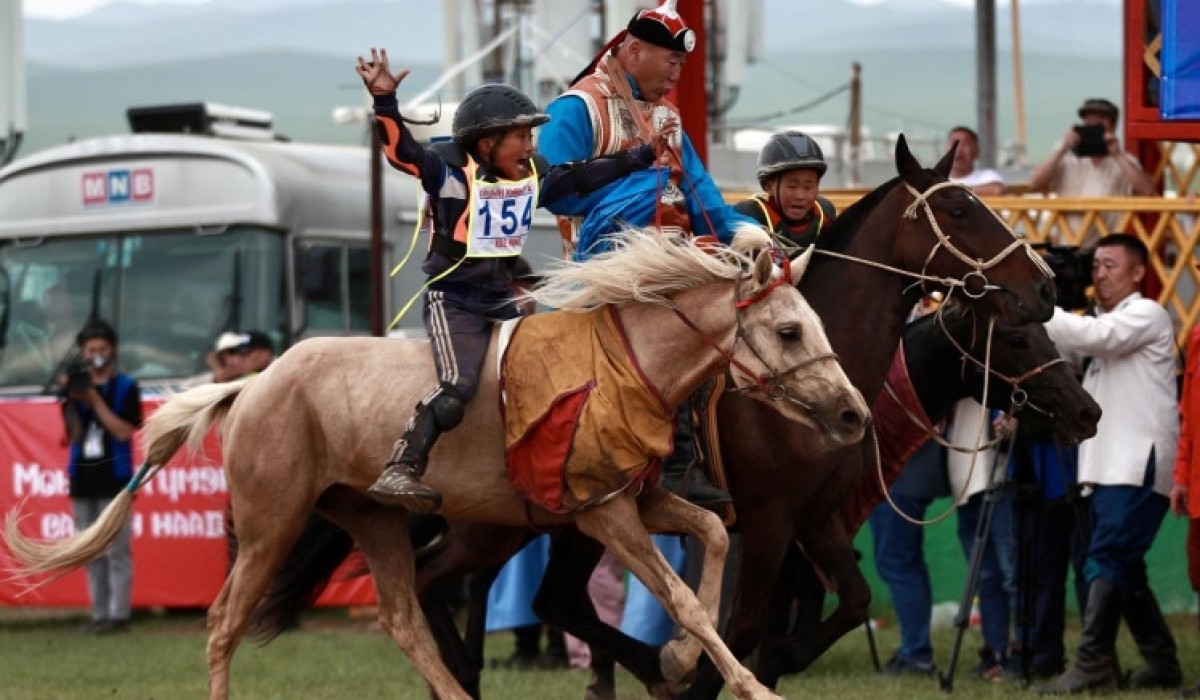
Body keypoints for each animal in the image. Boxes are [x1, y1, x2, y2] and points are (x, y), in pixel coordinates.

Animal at [7, 230, 873, 700]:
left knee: (402, 616)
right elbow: (687, 598)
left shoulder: (641, 501)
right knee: (224, 622)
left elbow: (714, 545)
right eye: (789, 331)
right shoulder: (603, 514)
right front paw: (744, 677)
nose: (854, 415)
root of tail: (253, 382)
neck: (621, 365)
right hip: (270, 523)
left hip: (375, 519)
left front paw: (679, 660)